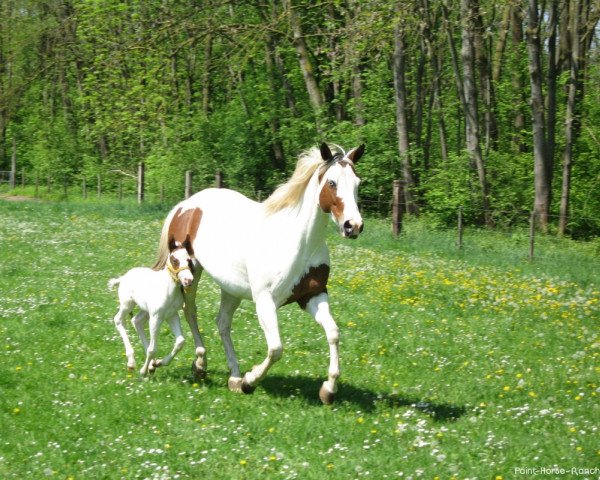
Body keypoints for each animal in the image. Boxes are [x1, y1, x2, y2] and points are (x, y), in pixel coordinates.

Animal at [106, 238, 193, 376]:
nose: (188, 280)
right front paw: (143, 371)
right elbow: (152, 349)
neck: (168, 290)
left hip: (145, 310)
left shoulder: (172, 315)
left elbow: (180, 341)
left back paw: (151, 364)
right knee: (118, 320)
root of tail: (123, 277)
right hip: (127, 304)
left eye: (189, 260)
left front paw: (159, 363)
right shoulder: (156, 317)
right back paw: (132, 362)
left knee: (136, 321)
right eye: (175, 260)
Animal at [152, 143, 364, 404]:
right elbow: (276, 348)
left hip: (230, 288)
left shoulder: (313, 296)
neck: (298, 242)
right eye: (332, 182)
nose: (353, 226)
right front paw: (249, 381)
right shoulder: (265, 300)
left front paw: (328, 390)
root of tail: (185, 206)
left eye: (357, 182)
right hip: (191, 272)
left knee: (222, 323)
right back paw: (201, 365)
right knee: (190, 311)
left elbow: (333, 333)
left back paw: (233, 376)